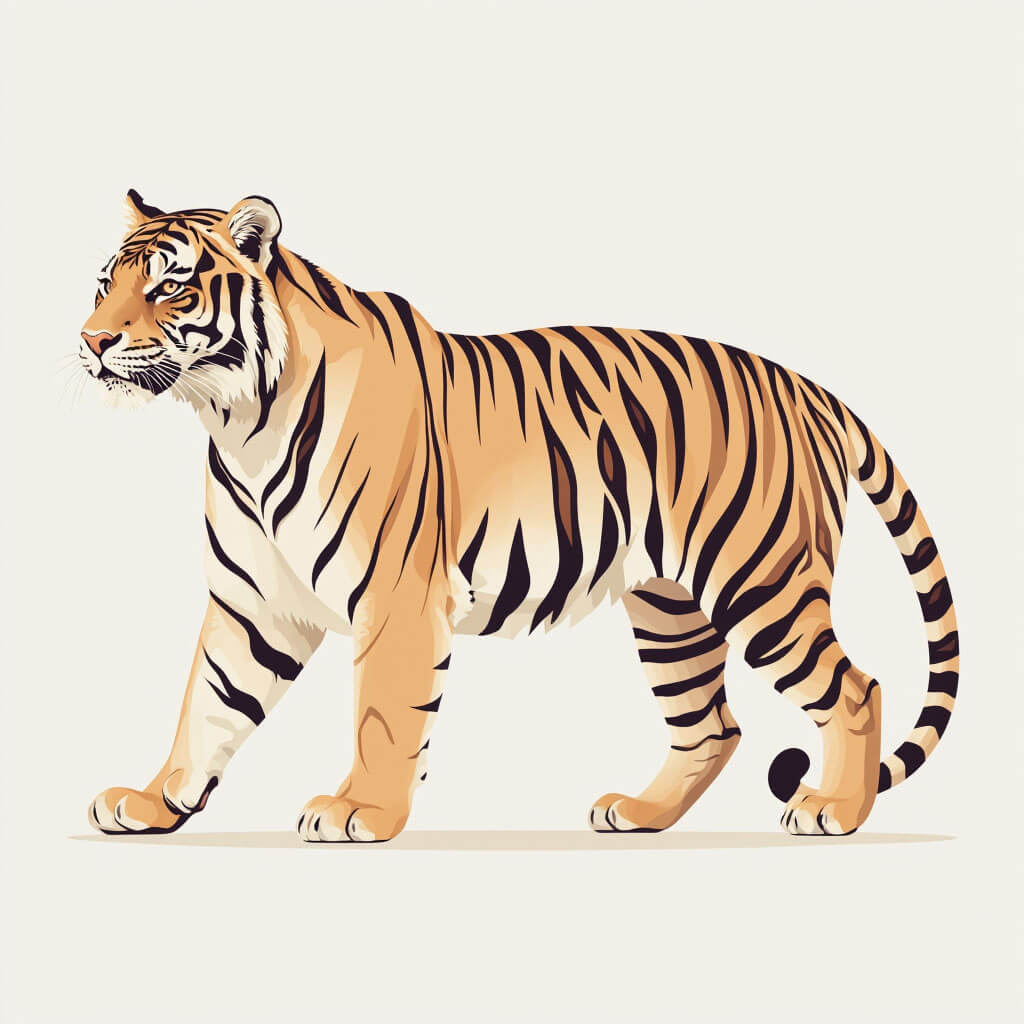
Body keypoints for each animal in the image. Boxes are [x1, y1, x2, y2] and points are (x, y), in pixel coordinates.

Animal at [79, 190, 959, 842]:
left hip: (761, 581)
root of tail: (809, 387)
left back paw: (832, 810)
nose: (91, 340)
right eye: (104, 285)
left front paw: (361, 810)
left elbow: (382, 714)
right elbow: (207, 706)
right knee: (712, 724)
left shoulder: (397, 598)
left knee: (856, 688)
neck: (239, 418)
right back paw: (640, 815)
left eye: (170, 286)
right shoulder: (253, 602)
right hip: (670, 607)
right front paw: (155, 802)